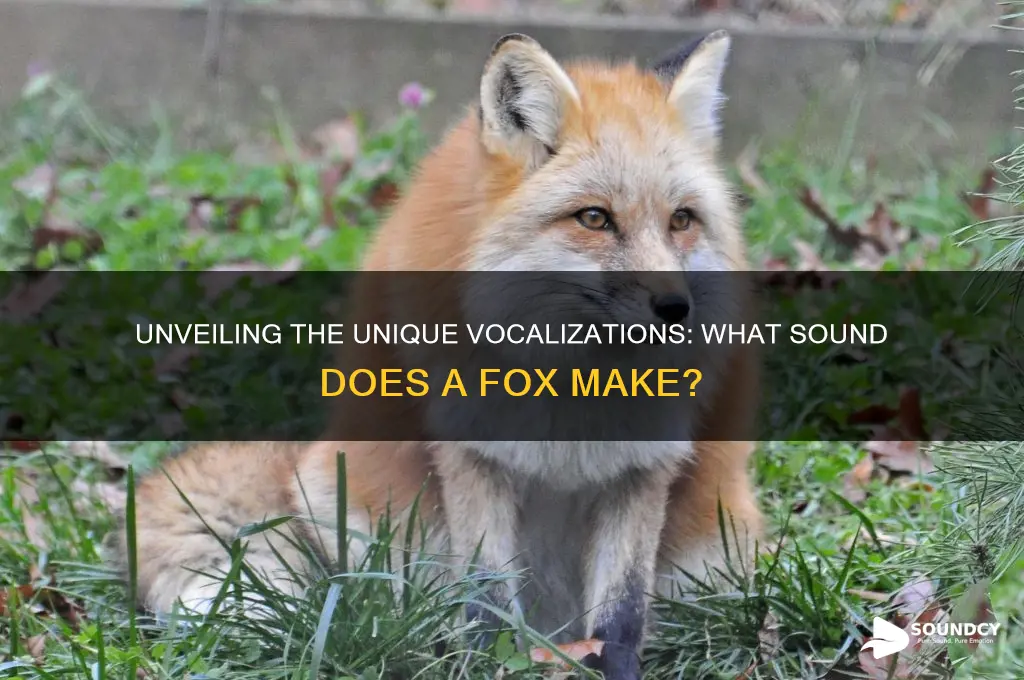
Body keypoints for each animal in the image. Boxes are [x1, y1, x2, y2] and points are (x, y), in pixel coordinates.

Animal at [109, 30, 763, 680]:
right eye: (595, 218)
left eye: (681, 220)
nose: (676, 308)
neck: (572, 395)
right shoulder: (471, 454)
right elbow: (486, 596)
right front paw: (486, 664)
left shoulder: (645, 467)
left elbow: (621, 615)